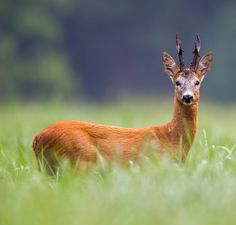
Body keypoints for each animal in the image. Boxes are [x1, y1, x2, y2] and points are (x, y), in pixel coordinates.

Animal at [31, 34, 212, 173]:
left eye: (197, 82)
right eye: (177, 82)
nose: (187, 97)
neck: (170, 138)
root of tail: (37, 138)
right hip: (78, 163)